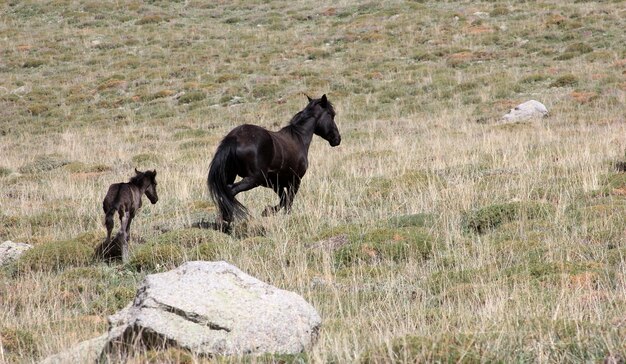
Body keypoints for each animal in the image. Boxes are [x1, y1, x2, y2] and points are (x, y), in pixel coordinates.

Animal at [207, 94, 338, 225]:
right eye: (331, 115)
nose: (337, 139)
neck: (298, 138)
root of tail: (234, 138)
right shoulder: (295, 181)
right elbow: (288, 202)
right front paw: (273, 213)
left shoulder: (275, 183)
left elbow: (284, 200)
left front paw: (268, 211)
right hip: (254, 179)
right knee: (230, 191)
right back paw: (227, 218)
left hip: (231, 175)